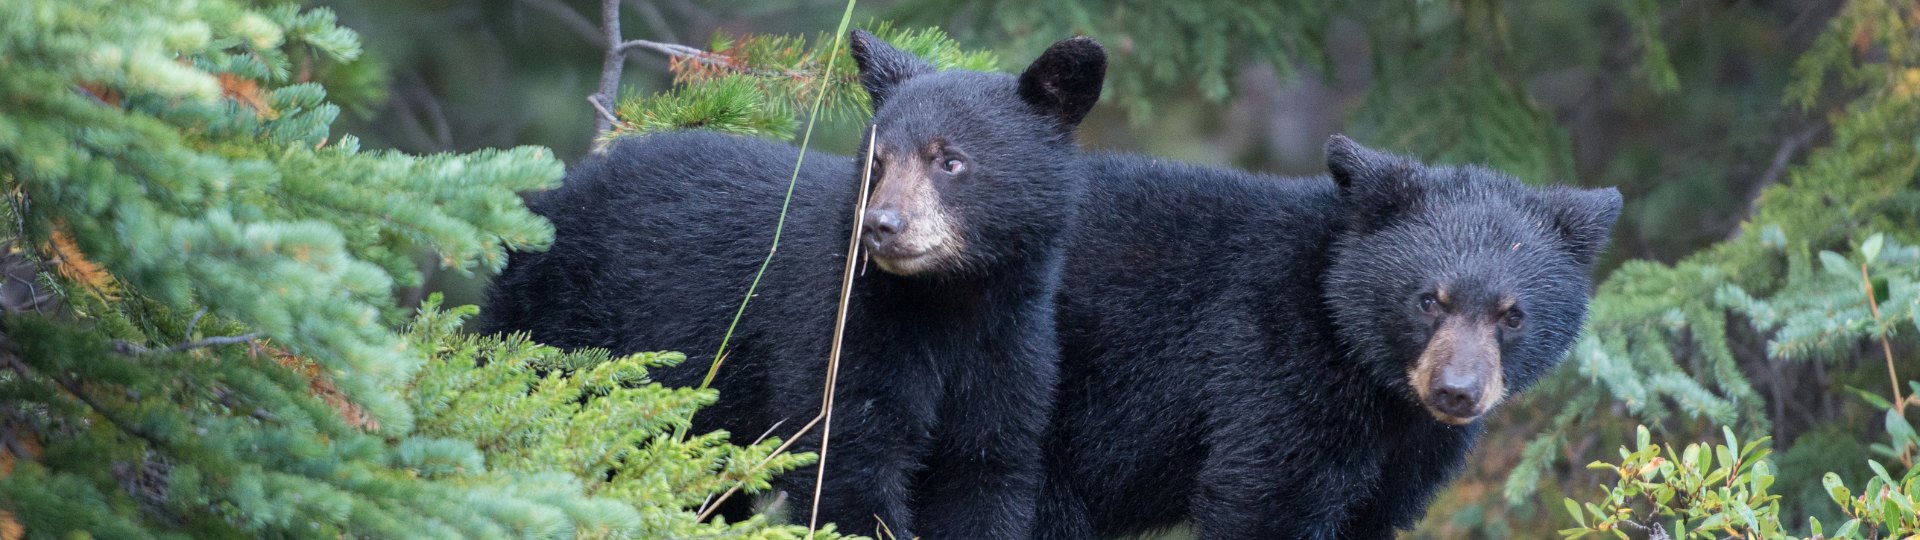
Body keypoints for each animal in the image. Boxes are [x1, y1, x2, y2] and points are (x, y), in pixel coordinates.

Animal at [482, 31, 1107, 538]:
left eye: (950, 161)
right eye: (876, 162)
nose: (881, 225)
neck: (948, 302)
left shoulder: (1011, 350)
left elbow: (987, 471)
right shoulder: (841, 326)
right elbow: (847, 464)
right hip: (553, 325)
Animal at [1033, 136, 1622, 539]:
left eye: (1512, 315)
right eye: (1428, 300)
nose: (1456, 391)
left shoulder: (1407, 455)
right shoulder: (1271, 362)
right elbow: (1267, 498)